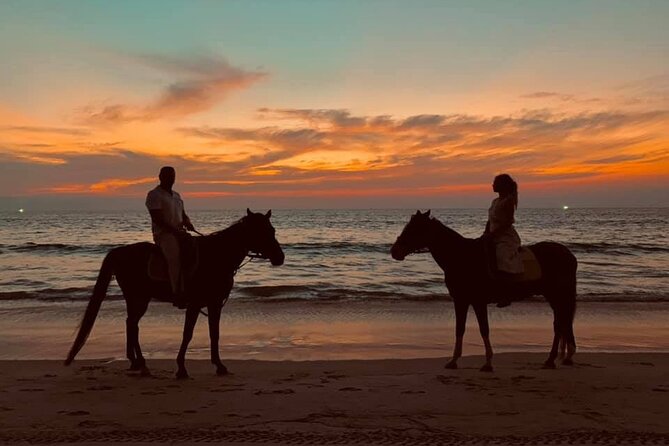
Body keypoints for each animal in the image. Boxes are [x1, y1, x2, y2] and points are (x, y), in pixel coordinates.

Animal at [67, 210, 284, 380]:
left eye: (272, 230)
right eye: (261, 231)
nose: (280, 258)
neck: (216, 256)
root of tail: (120, 251)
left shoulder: (214, 303)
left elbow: (215, 333)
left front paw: (220, 366)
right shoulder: (195, 304)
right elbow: (187, 334)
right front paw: (181, 369)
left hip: (136, 299)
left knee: (131, 324)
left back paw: (136, 363)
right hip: (139, 298)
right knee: (133, 325)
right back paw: (142, 364)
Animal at [388, 211, 576, 372]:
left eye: (414, 229)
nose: (394, 251)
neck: (461, 257)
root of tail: (568, 254)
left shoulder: (478, 301)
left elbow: (484, 329)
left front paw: (488, 363)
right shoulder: (461, 300)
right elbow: (460, 329)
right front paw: (453, 361)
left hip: (557, 295)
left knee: (560, 324)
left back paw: (551, 360)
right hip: (555, 297)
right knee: (561, 323)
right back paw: (560, 358)